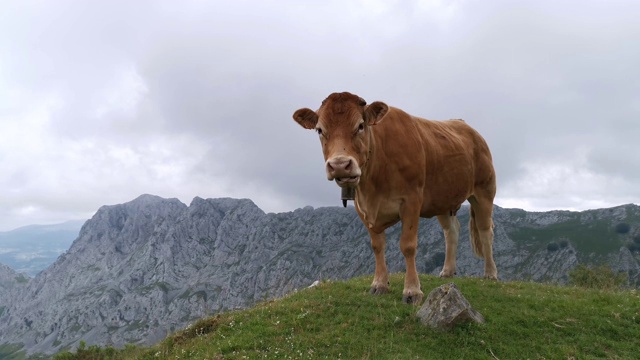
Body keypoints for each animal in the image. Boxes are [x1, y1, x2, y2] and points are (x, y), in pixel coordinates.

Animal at [292, 92, 498, 304]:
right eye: (319, 130)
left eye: (360, 125)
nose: (340, 165)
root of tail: (468, 128)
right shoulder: (362, 207)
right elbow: (377, 246)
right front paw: (379, 284)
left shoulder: (412, 200)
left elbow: (408, 246)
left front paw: (412, 291)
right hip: (443, 198)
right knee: (452, 231)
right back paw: (447, 271)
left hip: (484, 191)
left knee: (485, 231)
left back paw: (490, 273)